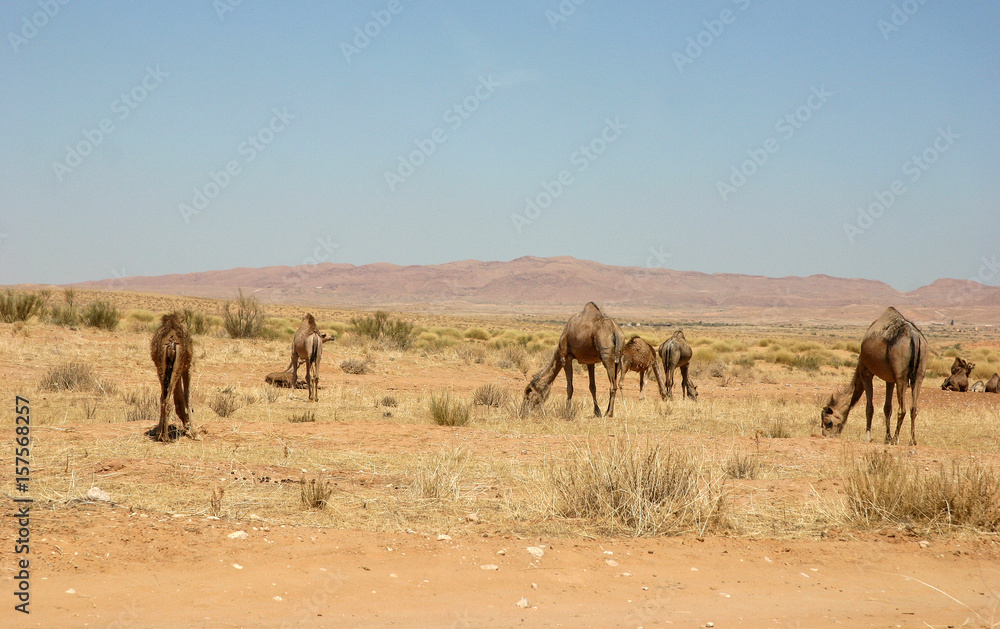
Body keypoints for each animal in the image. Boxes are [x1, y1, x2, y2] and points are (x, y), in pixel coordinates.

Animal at [149, 312, 194, 440]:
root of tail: (171, 342)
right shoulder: (187, 367)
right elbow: (187, 396)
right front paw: (194, 432)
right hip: (177, 366)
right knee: (168, 400)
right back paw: (166, 437)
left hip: (162, 368)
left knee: (164, 400)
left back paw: (161, 435)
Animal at [820, 306, 928, 444]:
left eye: (828, 421)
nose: (826, 435)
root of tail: (914, 336)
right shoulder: (889, 379)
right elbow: (887, 408)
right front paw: (886, 438)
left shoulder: (865, 374)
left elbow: (869, 408)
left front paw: (868, 437)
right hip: (919, 374)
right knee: (913, 408)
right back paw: (912, 440)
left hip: (901, 376)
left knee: (902, 409)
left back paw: (895, 439)